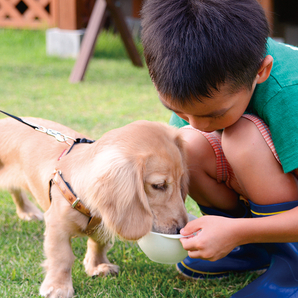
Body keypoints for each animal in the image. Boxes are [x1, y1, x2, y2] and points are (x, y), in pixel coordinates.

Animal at [0, 117, 187, 298]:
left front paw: (97, 266)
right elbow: (62, 257)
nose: (181, 229)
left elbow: (98, 244)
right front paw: (58, 287)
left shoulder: (102, 223)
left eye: (180, 180)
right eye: (159, 185)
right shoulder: (56, 225)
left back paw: (27, 212)